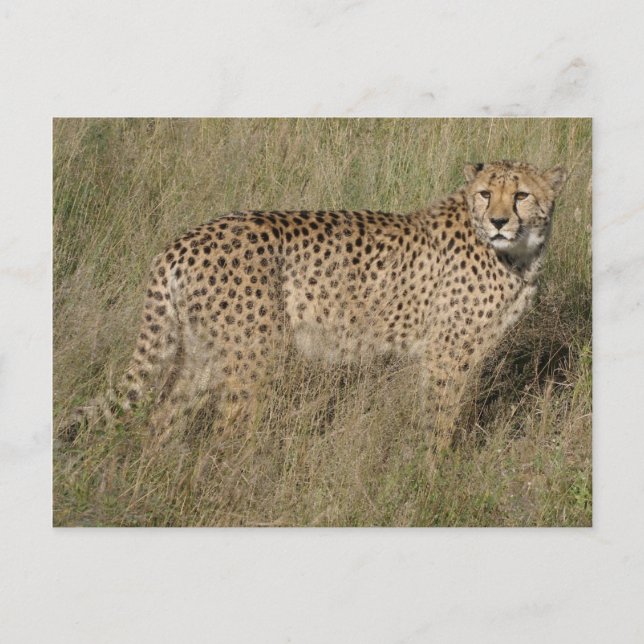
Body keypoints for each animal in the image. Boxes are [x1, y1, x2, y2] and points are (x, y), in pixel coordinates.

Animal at [65, 160, 566, 447]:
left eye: (521, 194)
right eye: (485, 193)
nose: (499, 221)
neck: (518, 254)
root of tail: (183, 240)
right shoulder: (446, 354)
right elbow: (439, 421)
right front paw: (432, 476)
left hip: (207, 351)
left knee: (165, 413)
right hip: (252, 354)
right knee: (226, 431)